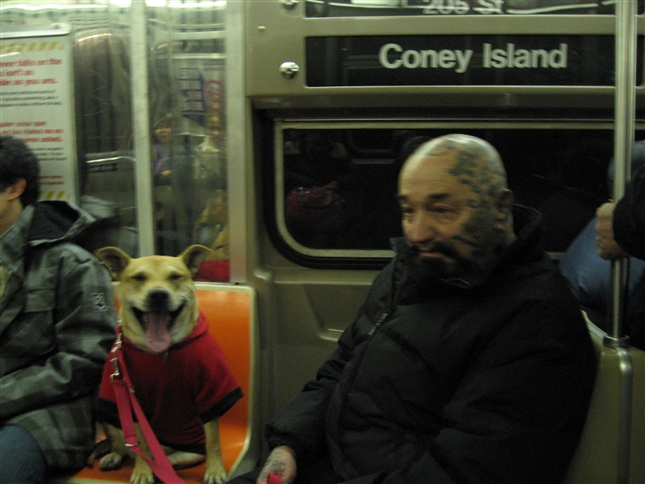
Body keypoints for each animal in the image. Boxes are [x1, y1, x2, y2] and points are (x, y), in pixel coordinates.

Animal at [92, 246, 239, 484]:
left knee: (172, 459)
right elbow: (140, 442)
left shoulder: (210, 390)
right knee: (125, 447)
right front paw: (143, 471)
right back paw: (118, 457)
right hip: (109, 417)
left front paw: (215, 471)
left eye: (175, 277)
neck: (162, 351)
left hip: (190, 451)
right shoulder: (131, 401)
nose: (158, 295)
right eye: (138, 277)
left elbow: (214, 441)